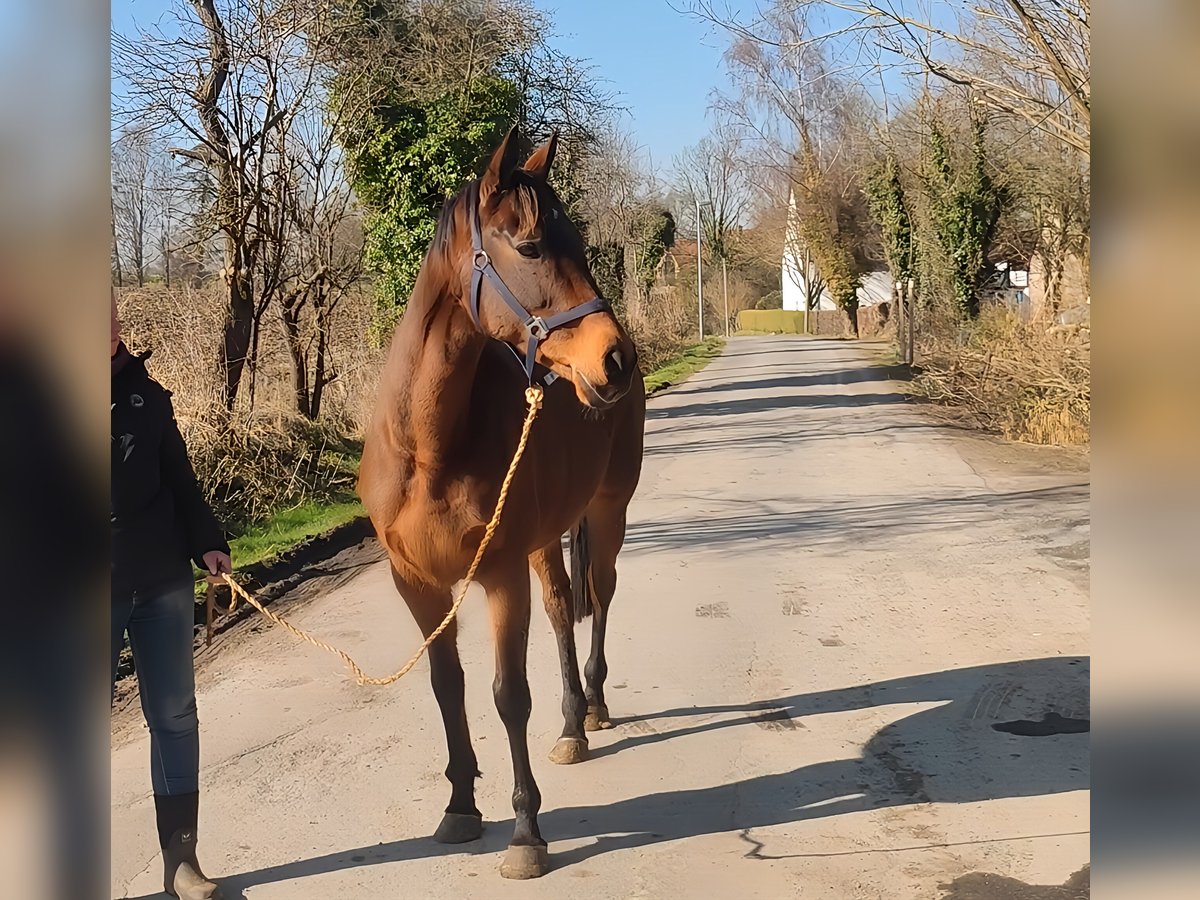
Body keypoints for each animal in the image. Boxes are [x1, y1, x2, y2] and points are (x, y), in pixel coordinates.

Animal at [357, 127, 648, 883]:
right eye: (532, 246)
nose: (616, 359)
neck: (429, 450)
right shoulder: (420, 585)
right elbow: (447, 686)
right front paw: (460, 806)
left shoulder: (497, 576)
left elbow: (507, 694)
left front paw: (524, 833)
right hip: (546, 539)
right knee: (563, 610)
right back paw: (571, 726)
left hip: (607, 512)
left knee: (602, 595)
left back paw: (594, 707)